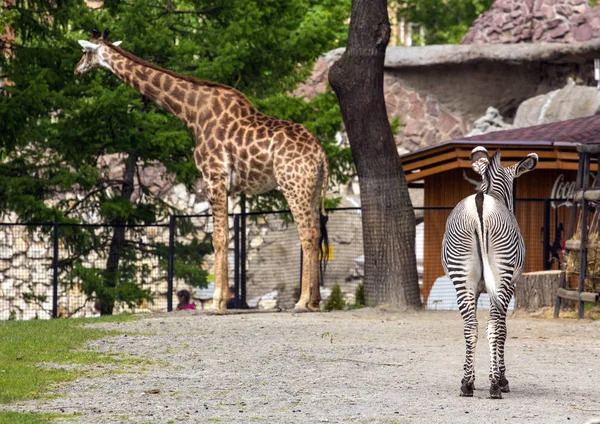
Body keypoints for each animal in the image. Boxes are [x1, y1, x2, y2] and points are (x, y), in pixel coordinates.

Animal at [75, 29, 330, 314]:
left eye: (84, 52)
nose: (76, 70)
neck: (191, 112)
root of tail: (321, 155)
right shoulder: (224, 184)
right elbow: (226, 238)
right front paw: (224, 301)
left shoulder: (213, 176)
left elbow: (217, 239)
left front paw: (217, 303)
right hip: (312, 189)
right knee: (316, 233)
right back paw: (316, 301)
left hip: (293, 186)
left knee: (306, 235)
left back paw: (302, 301)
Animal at [440, 146, 540, 398]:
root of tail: (480, 202)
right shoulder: (511, 285)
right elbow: (503, 329)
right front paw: (502, 378)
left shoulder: (476, 289)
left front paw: (470, 378)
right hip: (502, 276)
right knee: (495, 325)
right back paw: (495, 385)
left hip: (462, 276)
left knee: (470, 325)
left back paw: (467, 384)